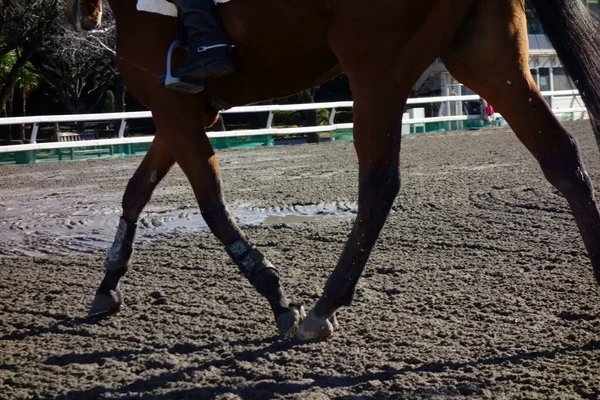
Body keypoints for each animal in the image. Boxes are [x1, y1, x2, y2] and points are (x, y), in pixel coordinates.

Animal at [65, 0, 600, 340]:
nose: (81, 16)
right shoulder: (180, 112)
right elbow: (136, 191)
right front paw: (107, 285)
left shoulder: (175, 110)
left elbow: (211, 206)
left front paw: (278, 296)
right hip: (484, 56)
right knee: (561, 158)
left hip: (376, 68)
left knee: (379, 184)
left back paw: (325, 305)